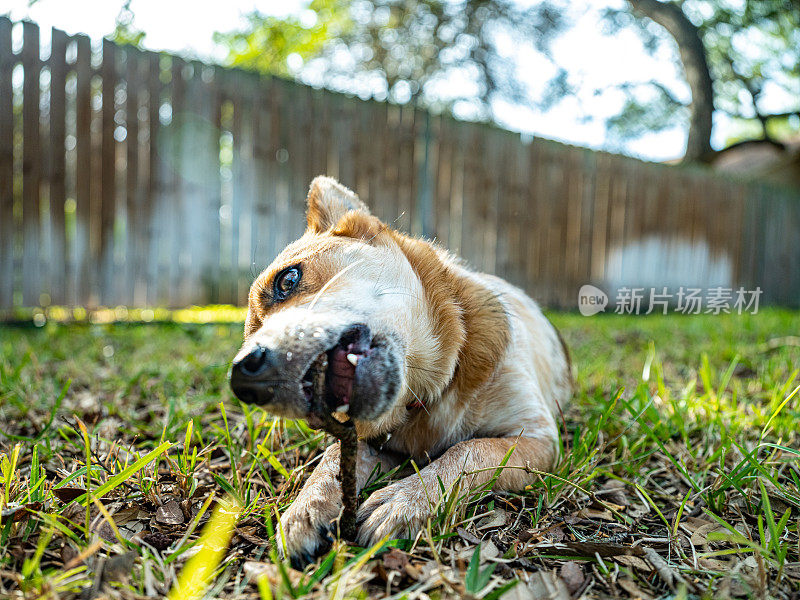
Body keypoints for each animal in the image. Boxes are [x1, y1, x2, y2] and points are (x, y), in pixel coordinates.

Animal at [228, 177, 572, 568]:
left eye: (287, 280)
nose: (243, 377)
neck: (436, 384)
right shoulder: (375, 442)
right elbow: (332, 458)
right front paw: (307, 507)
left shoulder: (539, 440)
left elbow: (470, 449)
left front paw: (405, 499)